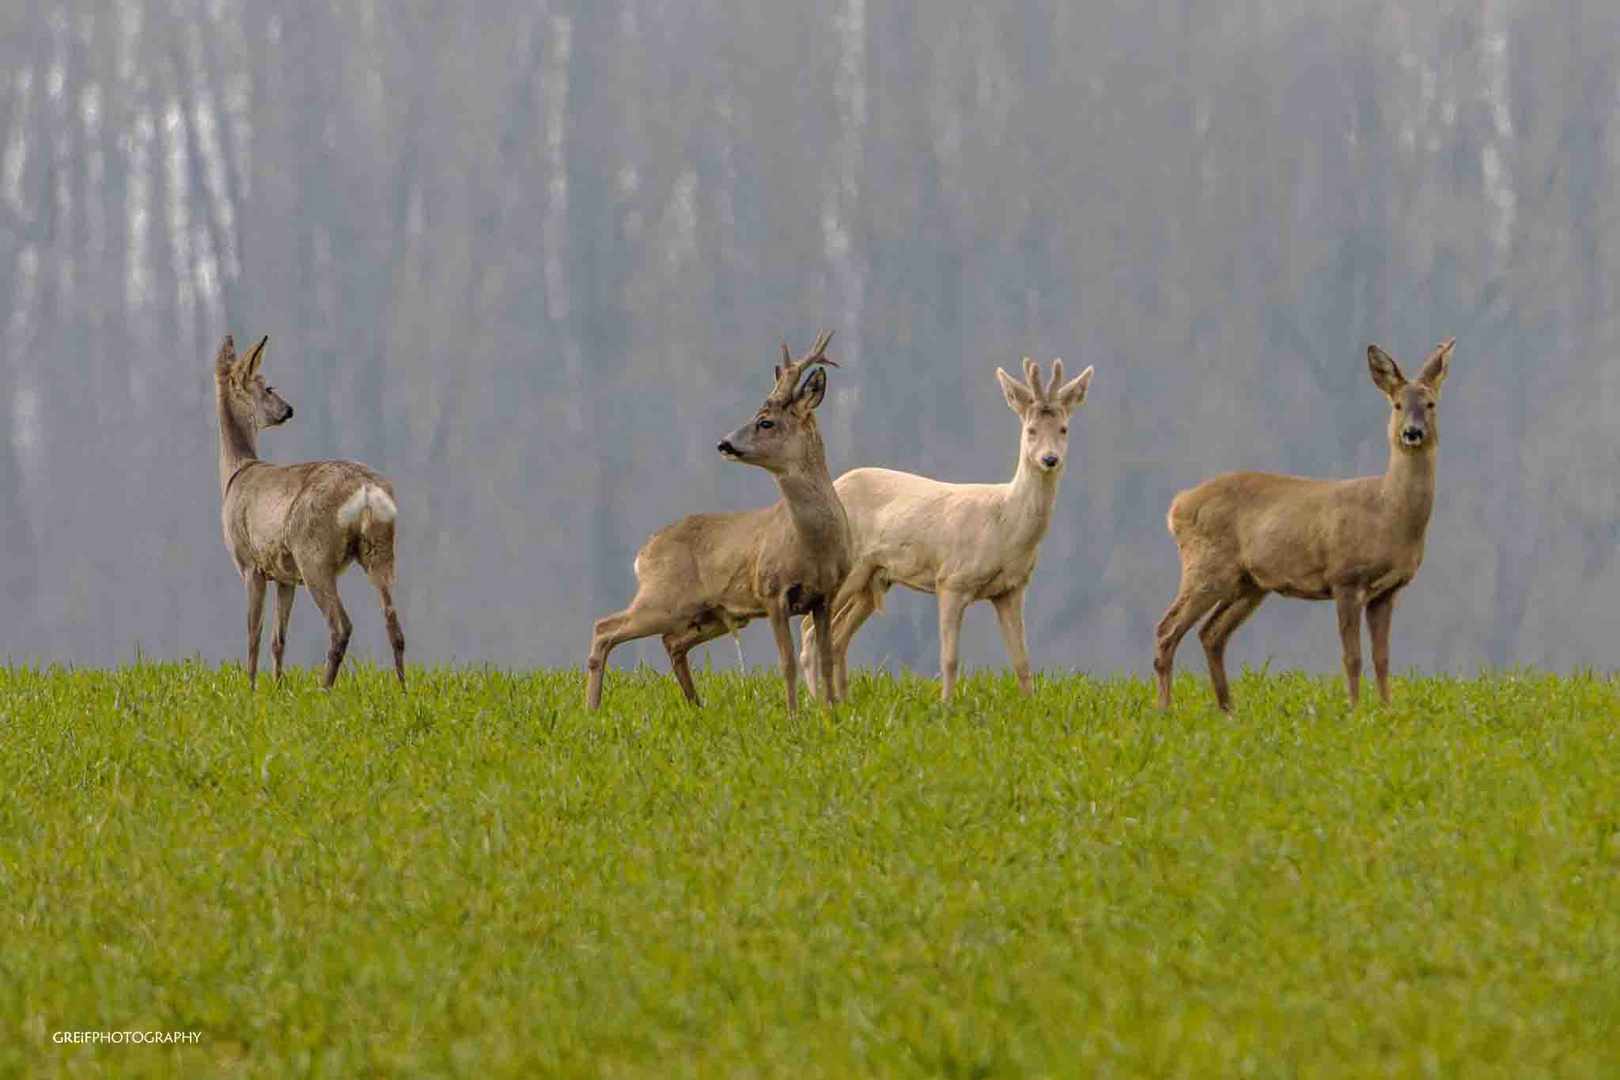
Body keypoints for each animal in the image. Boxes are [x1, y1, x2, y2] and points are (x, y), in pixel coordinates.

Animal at [210, 333, 405, 689]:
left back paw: (324, 689)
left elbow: (253, 634)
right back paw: (402, 688)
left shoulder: (250, 563)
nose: (288, 409)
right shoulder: (284, 576)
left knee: (341, 626)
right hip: (380, 549)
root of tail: (367, 490)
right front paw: (278, 687)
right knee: (393, 624)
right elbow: (278, 638)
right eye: (268, 387)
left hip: (314, 553)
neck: (235, 473)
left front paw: (251, 688)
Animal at [589, 333, 855, 712]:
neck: (813, 543)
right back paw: (592, 708)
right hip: (663, 598)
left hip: (708, 613)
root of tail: (642, 554)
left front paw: (831, 712)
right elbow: (786, 661)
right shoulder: (771, 590)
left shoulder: (826, 594)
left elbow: (827, 659)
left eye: (765, 422)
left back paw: (695, 705)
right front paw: (794, 715)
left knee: (671, 641)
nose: (724, 443)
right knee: (605, 628)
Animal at [803, 359, 1095, 705]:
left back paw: (840, 701)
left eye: (1064, 428)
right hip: (847, 570)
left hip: (873, 578)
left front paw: (1030, 705)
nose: (1050, 459)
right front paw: (946, 706)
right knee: (810, 632)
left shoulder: (1012, 589)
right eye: (1030, 430)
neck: (1004, 525)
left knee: (836, 638)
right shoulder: (951, 580)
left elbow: (1022, 661)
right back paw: (816, 704)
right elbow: (950, 658)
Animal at [1153, 338, 1458, 709]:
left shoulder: (1388, 590)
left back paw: (1228, 710)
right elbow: (1352, 657)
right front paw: (1355, 710)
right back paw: (1166, 710)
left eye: (1430, 403)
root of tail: (1177, 506)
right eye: (1397, 404)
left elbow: (1382, 658)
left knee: (1210, 633)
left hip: (1249, 583)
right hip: (1206, 566)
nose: (1412, 433)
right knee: (1167, 630)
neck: (1388, 513)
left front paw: (1387, 710)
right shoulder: (1345, 577)